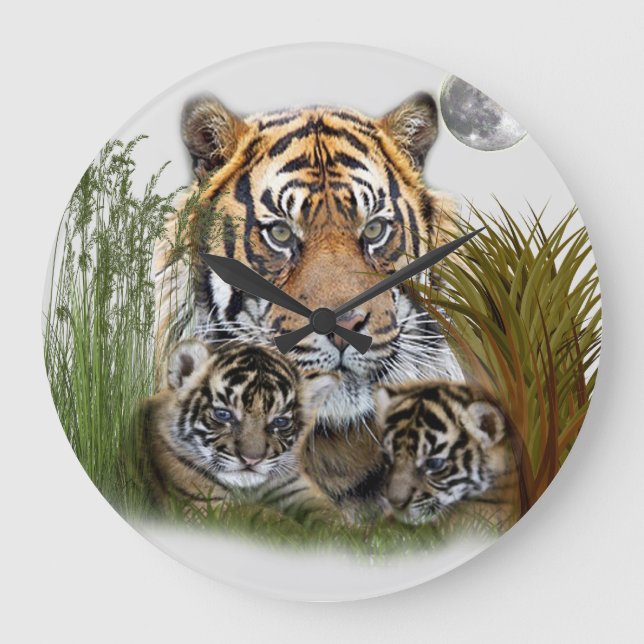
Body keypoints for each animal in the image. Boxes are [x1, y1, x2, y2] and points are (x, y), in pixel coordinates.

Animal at [141, 338, 338, 513]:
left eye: (280, 422)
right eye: (223, 414)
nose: (251, 460)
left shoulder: (296, 487)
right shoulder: (204, 504)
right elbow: (266, 517)